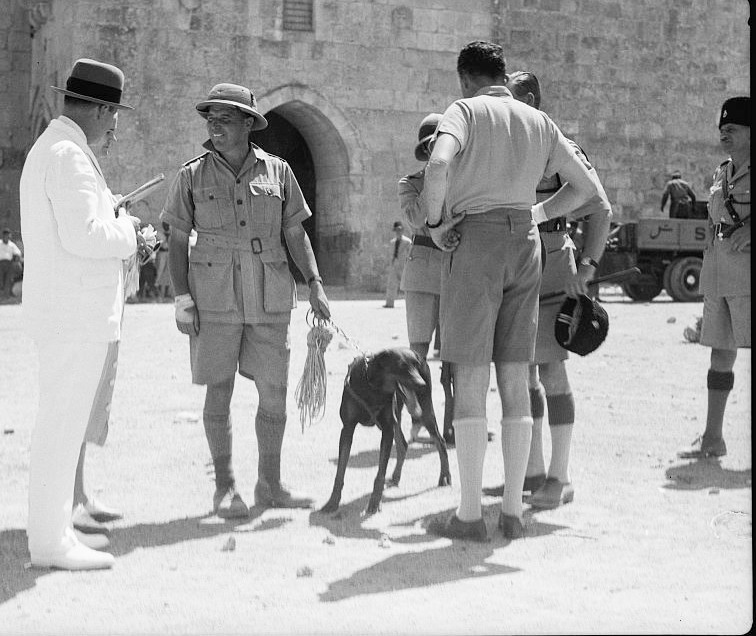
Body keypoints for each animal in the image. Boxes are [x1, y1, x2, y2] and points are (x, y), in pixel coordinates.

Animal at [318, 348, 448, 516]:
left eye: (416, 365)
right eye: (402, 366)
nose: (421, 384)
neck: (373, 387)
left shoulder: (386, 429)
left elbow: (380, 473)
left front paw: (374, 502)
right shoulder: (347, 428)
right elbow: (340, 471)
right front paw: (332, 502)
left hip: (424, 409)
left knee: (440, 440)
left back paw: (445, 476)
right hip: (398, 413)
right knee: (403, 444)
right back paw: (396, 476)